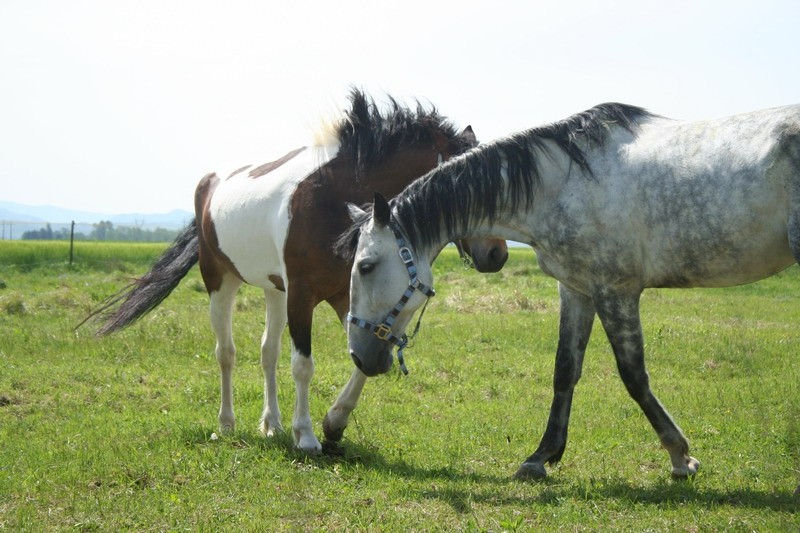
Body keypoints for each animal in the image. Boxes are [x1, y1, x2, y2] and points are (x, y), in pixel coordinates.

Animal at [83, 90, 506, 448]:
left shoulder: (346, 298)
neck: (334, 196)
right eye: (469, 188)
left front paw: (334, 423)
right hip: (220, 282)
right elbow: (303, 364)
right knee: (226, 352)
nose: (498, 254)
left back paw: (271, 423)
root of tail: (211, 182)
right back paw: (227, 424)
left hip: (275, 290)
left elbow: (362, 358)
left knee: (267, 352)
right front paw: (305, 435)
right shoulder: (303, 294)